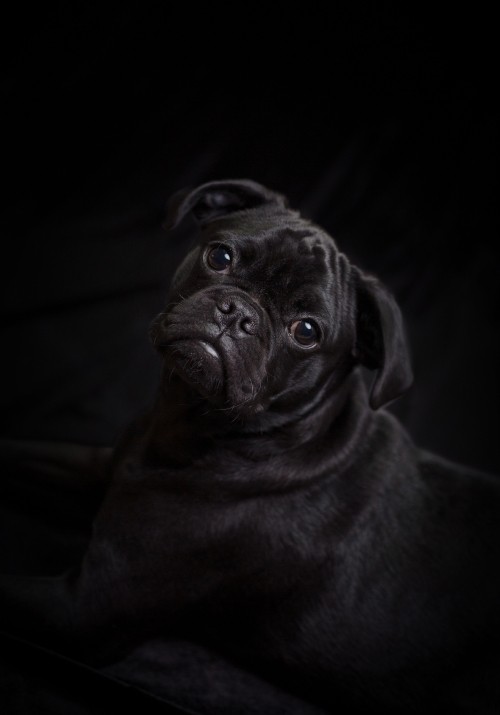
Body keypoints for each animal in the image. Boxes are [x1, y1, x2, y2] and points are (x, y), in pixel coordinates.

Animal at [0, 179, 500, 712]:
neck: (189, 427)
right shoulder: (98, 470)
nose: (238, 312)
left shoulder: (84, 610)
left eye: (307, 331)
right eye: (220, 256)